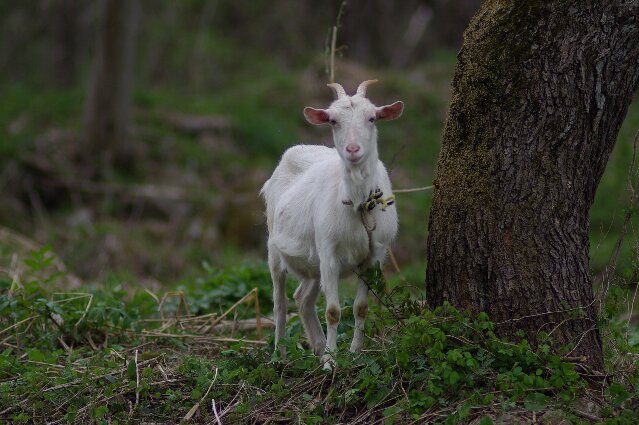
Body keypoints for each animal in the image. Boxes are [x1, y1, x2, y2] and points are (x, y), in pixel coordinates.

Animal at [258, 79, 400, 364]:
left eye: (372, 118)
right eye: (333, 120)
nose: (353, 150)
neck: (358, 205)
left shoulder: (374, 255)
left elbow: (361, 307)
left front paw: (354, 353)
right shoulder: (329, 251)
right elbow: (333, 311)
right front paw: (331, 361)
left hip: (312, 263)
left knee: (302, 298)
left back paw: (319, 345)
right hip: (276, 250)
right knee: (280, 304)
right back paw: (279, 354)